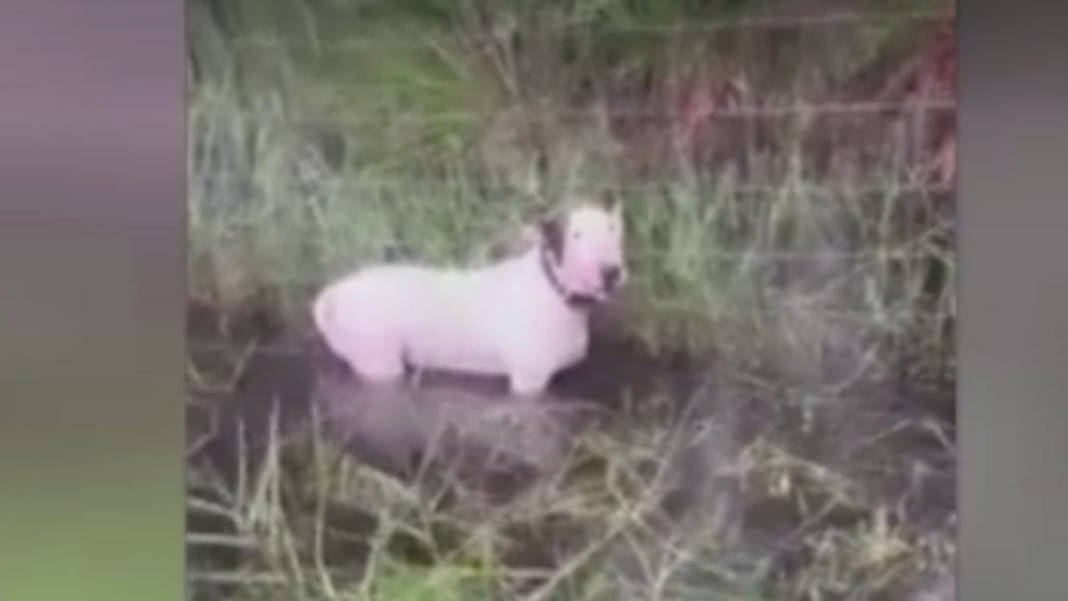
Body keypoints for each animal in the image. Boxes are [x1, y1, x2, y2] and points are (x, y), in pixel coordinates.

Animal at [311, 195, 623, 397]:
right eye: (575, 234)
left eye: (613, 228)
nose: (611, 272)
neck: (553, 291)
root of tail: (333, 295)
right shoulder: (528, 381)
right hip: (377, 360)